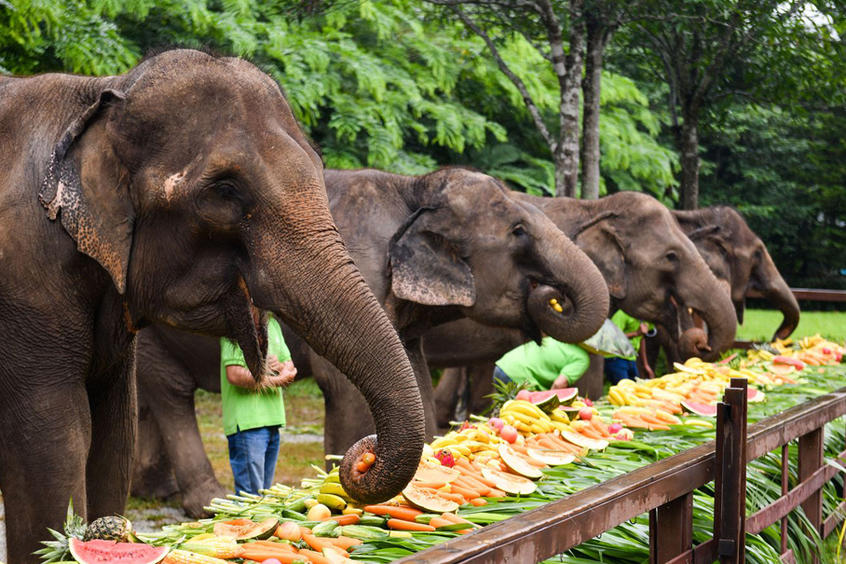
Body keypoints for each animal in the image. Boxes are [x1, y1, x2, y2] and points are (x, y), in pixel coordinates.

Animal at [0, 50, 430, 560]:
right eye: (224, 190)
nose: (363, 457)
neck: (99, 96)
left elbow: (112, 435)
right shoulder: (25, 278)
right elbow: (53, 443)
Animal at [131, 166, 608, 516]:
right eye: (518, 232)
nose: (550, 295)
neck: (410, 188)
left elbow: (414, 375)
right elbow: (345, 388)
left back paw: (158, 493)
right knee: (172, 394)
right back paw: (206, 506)